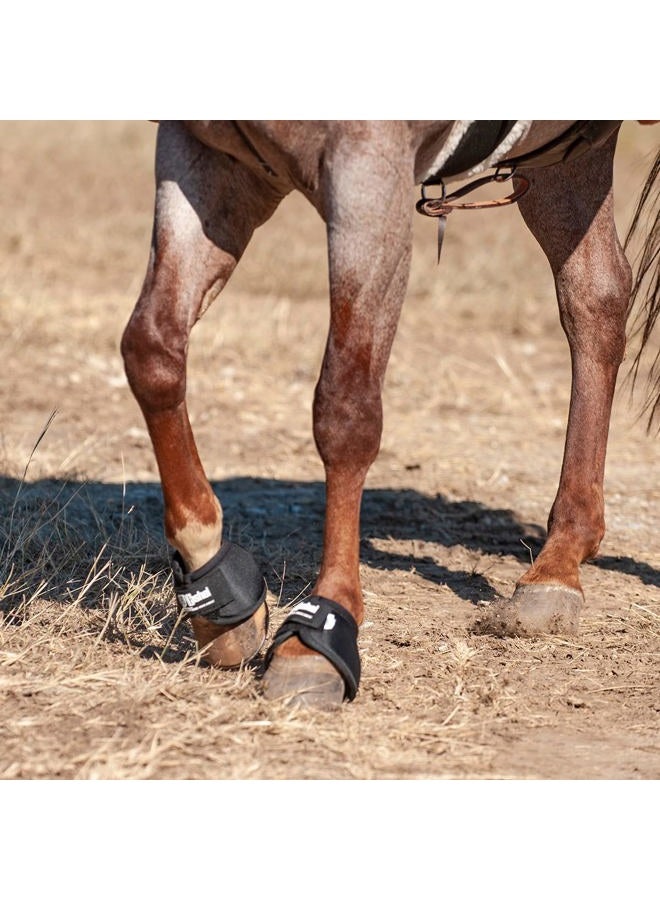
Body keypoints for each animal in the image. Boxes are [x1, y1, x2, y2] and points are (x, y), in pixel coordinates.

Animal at [120, 121, 660, 710]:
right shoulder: (207, 157)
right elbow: (152, 353)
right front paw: (218, 594)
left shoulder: (370, 177)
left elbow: (345, 412)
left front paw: (319, 630)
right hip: (563, 155)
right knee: (596, 298)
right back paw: (558, 566)